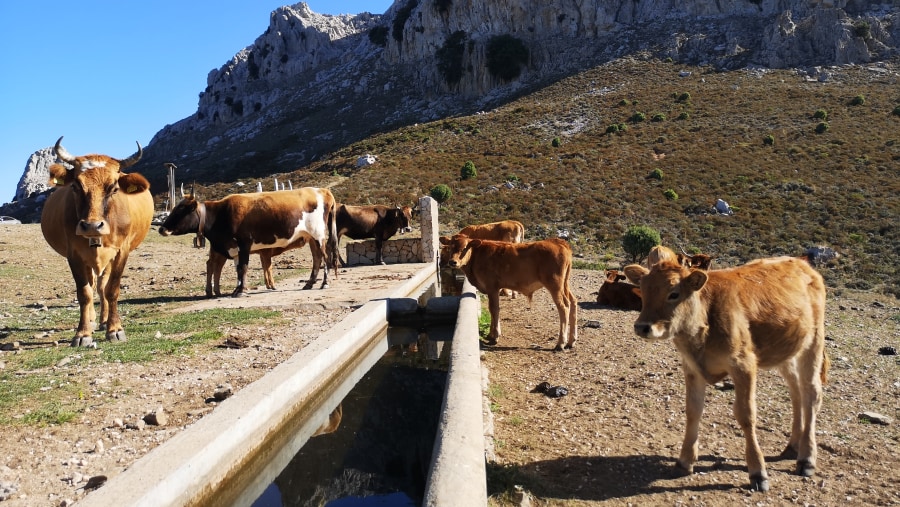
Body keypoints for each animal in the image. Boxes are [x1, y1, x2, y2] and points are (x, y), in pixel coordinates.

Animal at [40, 137, 153, 348]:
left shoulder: (121, 251)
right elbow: (84, 293)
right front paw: (82, 333)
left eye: (114, 188)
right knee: (93, 286)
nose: (92, 225)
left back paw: (104, 321)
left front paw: (115, 329)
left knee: (101, 286)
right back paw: (93, 321)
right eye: (75, 186)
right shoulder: (74, 254)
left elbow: (112, 289)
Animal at [158, 189, 338, 296]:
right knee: (317, 258)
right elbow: (238, 269)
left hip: (318, 235)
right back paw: (309, 283)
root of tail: (321, 190)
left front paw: (240, 291)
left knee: (325, 257)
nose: (161, 229)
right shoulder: (234, 248)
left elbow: (243, 268)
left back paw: (324, 283)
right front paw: (238, 288)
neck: (221, 214)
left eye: (181, 210)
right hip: (311, 238)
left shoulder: (244, 245)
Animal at [442, 235, 580, 352]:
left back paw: (561, 343)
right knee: (573, 301)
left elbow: (494, 309)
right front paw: (491, 334)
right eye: (450, 247)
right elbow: (494, 310)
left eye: (465, 247)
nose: (453, 262)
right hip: (564, 284)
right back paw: (571, 341)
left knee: (564, 307)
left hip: (554, 284)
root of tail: (557, 241)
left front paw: (494, 337)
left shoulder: (492, 287)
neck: (476, 257)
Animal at [624, 252, 828, 494]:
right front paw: (685, 461)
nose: (642, 327)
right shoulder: (691, 368)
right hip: (785, 352)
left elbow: (746, 416)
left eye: (674, 293)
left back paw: (806, 459)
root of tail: (801, 263)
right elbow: (693, 411)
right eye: (643, 290)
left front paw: (758, 472)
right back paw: (792, 446)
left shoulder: (743, 364)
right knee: (797, 392)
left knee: (811, 393)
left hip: (814, 341)